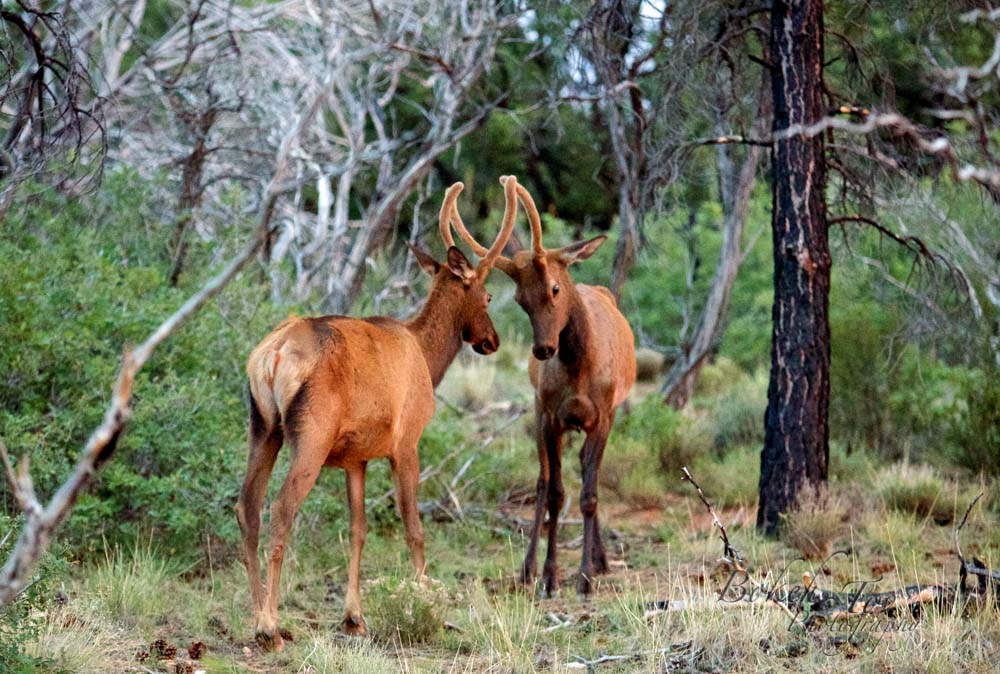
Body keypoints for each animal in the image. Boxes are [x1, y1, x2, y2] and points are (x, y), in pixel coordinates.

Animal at [235, 176, 519, 651]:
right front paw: (426, 605)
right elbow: (413, 528)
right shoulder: (406, 442)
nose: (492, 340)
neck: (428, 357)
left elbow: (359, 529)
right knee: (281, 508)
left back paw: (259, 617)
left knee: (247, 505)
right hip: (310, 434)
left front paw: (354, 617)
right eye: (488, 293)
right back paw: (270, 625)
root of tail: (271, 357)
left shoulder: (356, 458)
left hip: (263, 426)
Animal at [448, 177, 636, 597]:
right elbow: (554, 494)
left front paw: (585, 577)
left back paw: (600, 559)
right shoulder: (550, 415)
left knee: (587, 473)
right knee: (543, 479)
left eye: (554, 288)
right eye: (519, 298)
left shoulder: (602, 415)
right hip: (538, 413)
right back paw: (527, 568)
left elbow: (589, 494)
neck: (580, 369)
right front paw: (550, 576)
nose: (544, 349)